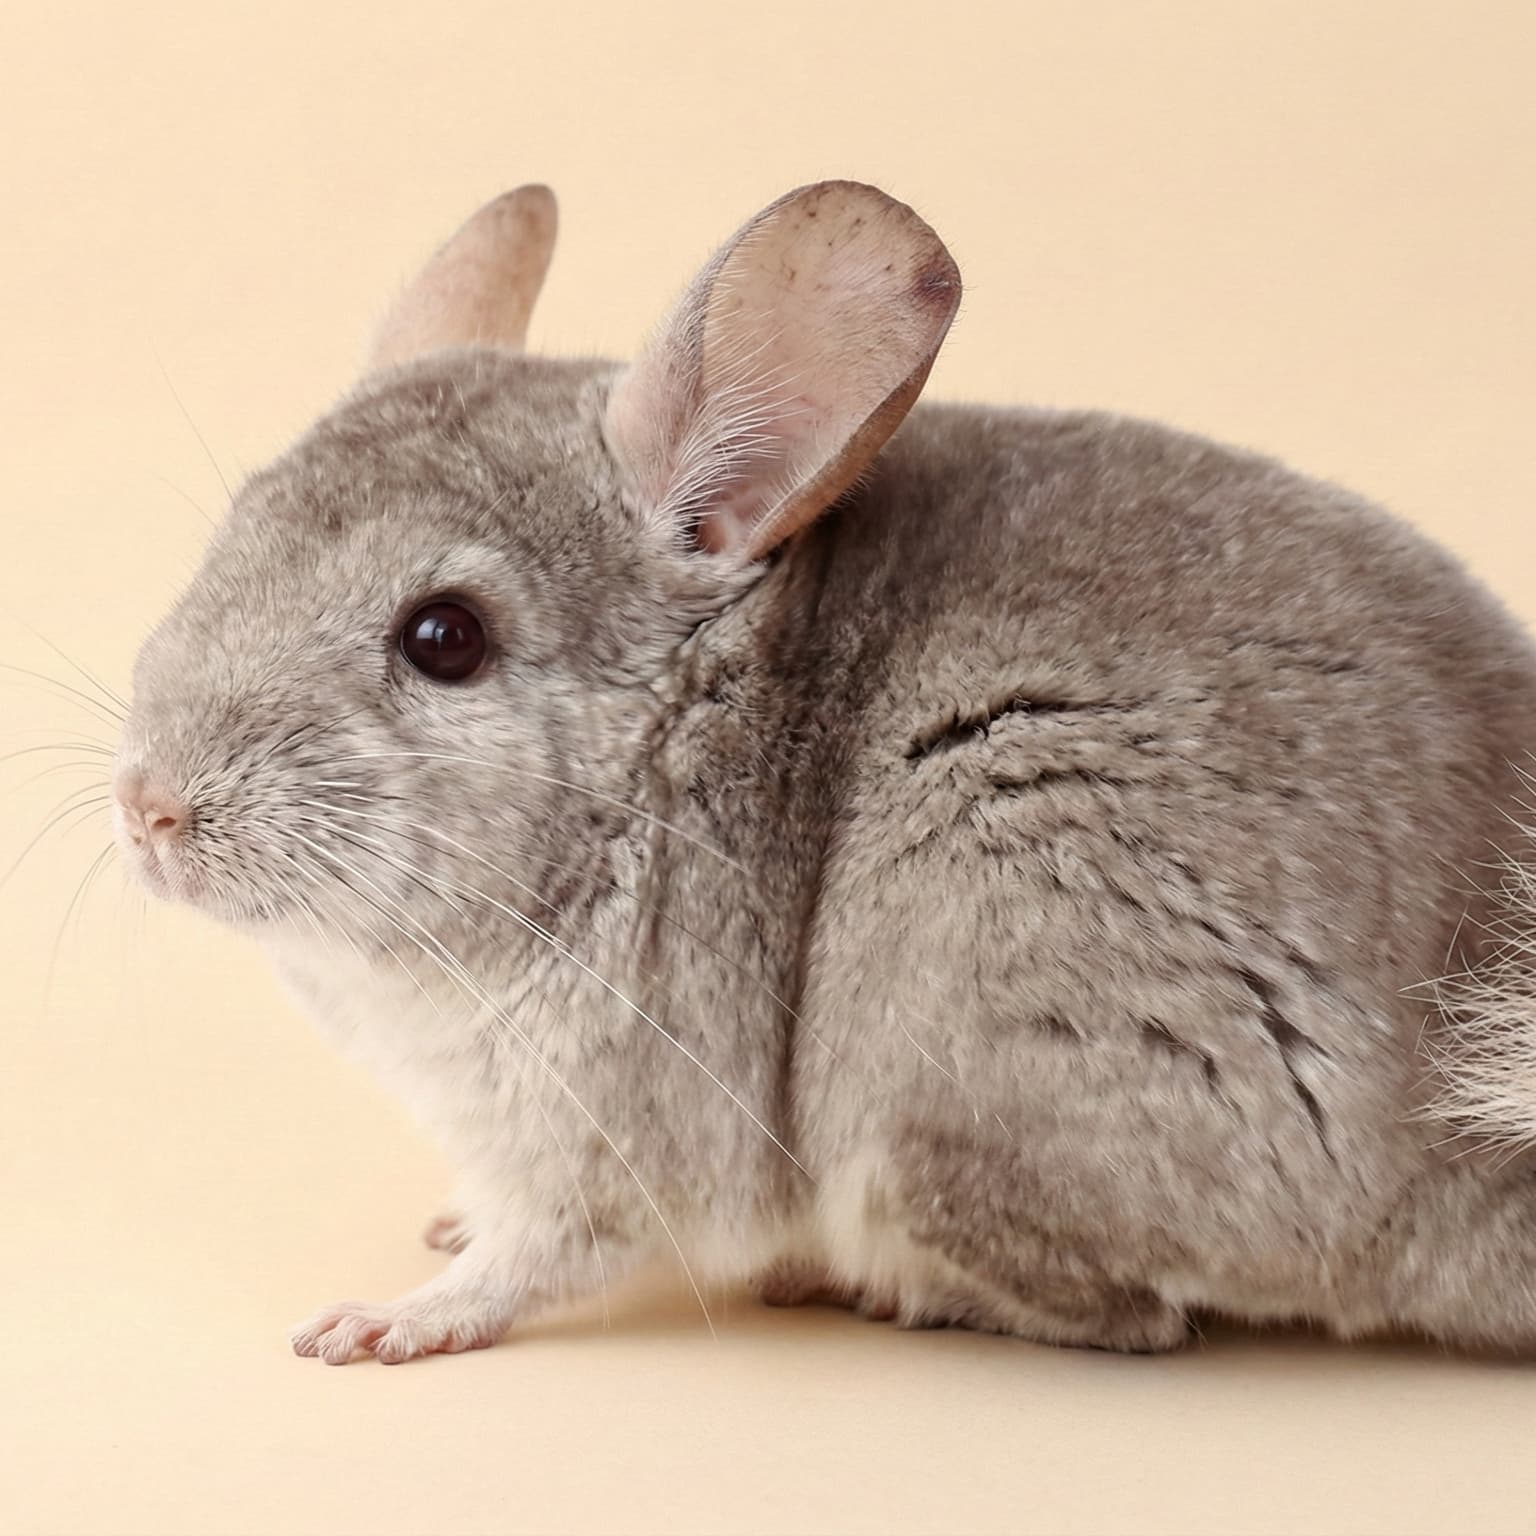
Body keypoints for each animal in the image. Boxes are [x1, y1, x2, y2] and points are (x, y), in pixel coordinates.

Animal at [111, 179, 1536, 1366]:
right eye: (231, 540)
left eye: (444, 637)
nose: (148, 808)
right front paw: (446, 1225)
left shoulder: (618, 1121)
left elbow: (536, 1259)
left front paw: (386, 1320)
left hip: (959, 972)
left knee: (1132, 1318)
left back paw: (867, 1285)